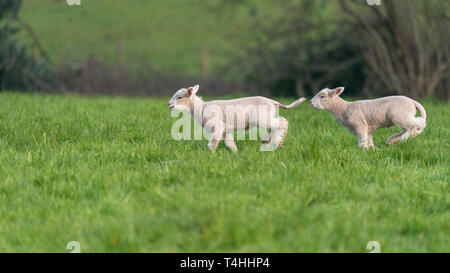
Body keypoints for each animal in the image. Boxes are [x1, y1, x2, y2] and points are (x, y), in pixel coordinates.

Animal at [167, 84, 308, 152]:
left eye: (180, 97)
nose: (169, 104)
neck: (201, 108)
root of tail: (272, 101)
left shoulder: (218, 126)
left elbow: (212, 144)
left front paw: (211, 155)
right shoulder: (225, 130)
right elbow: (230, 144)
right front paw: (236, 154)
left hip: (262, 118)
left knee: (281, 122)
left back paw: (277, 142)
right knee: (278, 123)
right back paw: (268, 141)